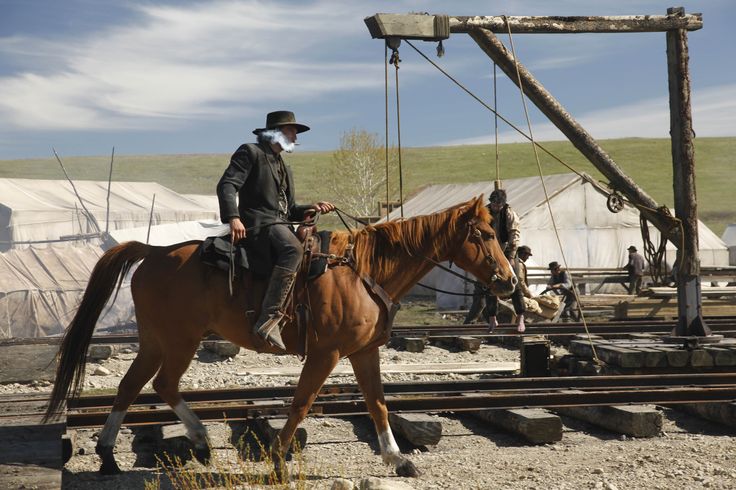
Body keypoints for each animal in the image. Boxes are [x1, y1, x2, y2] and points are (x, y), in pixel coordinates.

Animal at [46, 195, 516, 478]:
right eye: (485, 234)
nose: (510, 282)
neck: (362, 271)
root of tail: (156, 252)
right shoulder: (327, 353)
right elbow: (302, 402)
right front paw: (277, 459)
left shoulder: (364, 352)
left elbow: (378, 403)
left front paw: (397, 458)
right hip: (179, 340)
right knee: (161, 384)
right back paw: (192, 440)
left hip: (158, 341)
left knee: (132, 386)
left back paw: (114, 454)